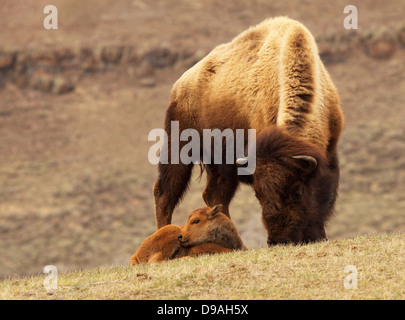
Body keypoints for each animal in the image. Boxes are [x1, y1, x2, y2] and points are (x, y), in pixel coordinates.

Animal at [152, 17, 340, 245]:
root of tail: (180, 85)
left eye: (298, 191)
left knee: (215, 196)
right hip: (179, 148)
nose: (278, 240)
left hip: (221, 165)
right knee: (165, 193)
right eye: (258, 194)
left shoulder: (330, 153)